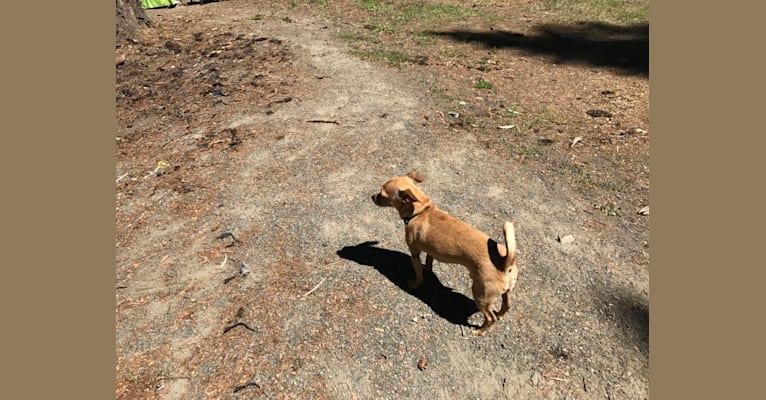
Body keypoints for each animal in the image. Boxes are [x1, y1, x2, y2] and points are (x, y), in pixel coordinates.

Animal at [374, 171, 520, 334]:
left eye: (382, 194)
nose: (372, 197)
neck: (420, 211)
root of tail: (505, 262)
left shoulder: (414, 254)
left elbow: (419, 275)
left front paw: (414, 284)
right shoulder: (431, 251)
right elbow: (429, 262)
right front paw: (427, 268)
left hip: (481, 296)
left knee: (490, 318)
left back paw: (479, 331)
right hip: (505, 292)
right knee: (507, 305)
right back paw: (500, 315)